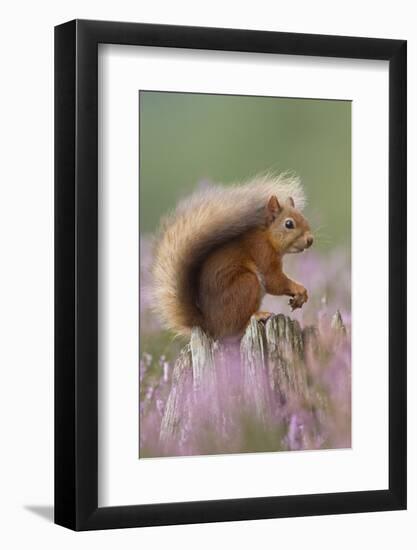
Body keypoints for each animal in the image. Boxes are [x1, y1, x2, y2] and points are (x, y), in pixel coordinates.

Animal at [152, 176, 312, 340]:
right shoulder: (262, 253)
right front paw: (299, 288)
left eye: (304, 218)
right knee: (237, 327)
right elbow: (274, 281)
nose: (310, 240)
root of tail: (211, 327)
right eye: (289, 224)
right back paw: (258, 316)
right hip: (247, 284)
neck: (267, 237)